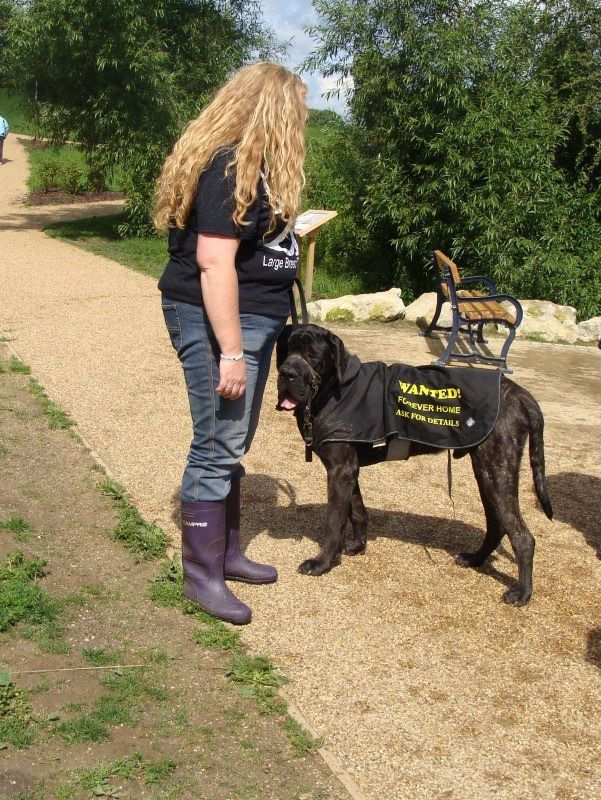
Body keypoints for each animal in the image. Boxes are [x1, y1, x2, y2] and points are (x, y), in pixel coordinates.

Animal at [274, 322, 552, 604]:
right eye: (286, 351)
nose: (287, 374)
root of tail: (520, 393)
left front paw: (322, 563)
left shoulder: (340, 469)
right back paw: (475, 559)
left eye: (312, 356)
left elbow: (334, 520)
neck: (335, 389)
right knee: (497, 525)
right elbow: (357, 510)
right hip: (486, 472)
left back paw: (522, 592)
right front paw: (357, 546)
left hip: (497, 471)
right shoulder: (348, 469)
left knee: (522, 536)